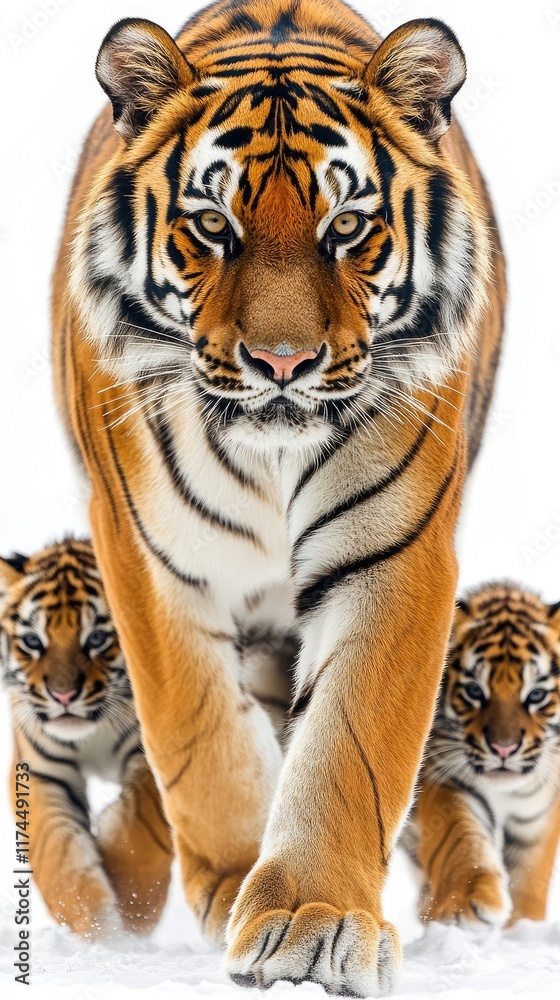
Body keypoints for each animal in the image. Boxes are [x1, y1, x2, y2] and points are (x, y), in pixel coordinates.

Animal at [0, 538, 173, 939]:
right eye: (32, 641)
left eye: (96, 638)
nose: (63, 695)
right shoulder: (40, 773)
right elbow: (58, 855)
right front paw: (98, 932)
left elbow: (141, 826)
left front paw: (135, 911)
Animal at [51, 0, 506, 993]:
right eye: (213, 223)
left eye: (348, 225)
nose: (283, 362)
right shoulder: (147, 550)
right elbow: (196, 734)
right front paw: (232, 881)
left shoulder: (394, 553)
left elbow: (351, 746)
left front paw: (311, 918)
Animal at [404, 584, 560, 930]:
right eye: (475, 691)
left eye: (536, 695)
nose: (504, 748)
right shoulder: (443, 778)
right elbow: (461, 836)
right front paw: (466, 902)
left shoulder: (539, 811)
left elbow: (531, 873)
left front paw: (522, 926)